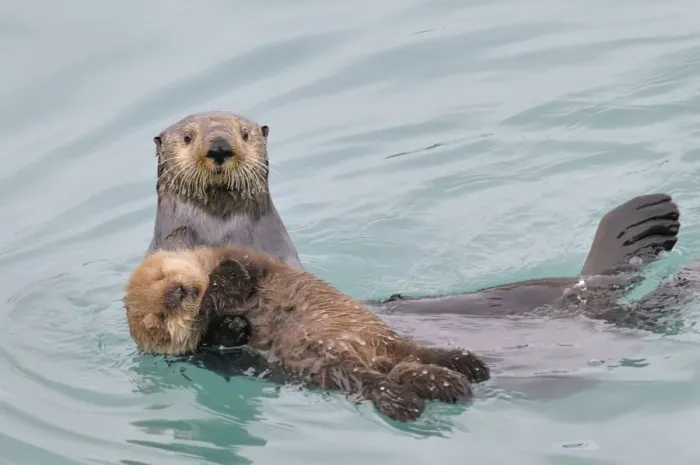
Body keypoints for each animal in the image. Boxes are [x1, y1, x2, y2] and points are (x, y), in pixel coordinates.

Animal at [123, 245, 491, 422]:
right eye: (160, 317)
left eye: (161, 275)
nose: (176, 293)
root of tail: (376, 358)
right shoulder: (210, 352)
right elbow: (216, 335)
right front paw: (230, 325)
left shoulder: (250, 260)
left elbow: (237, 273)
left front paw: (221, 286)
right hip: (339, 368)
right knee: (380, 380)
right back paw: (414, 397)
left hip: (377, 338)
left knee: (411, 355)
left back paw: (464, 366)